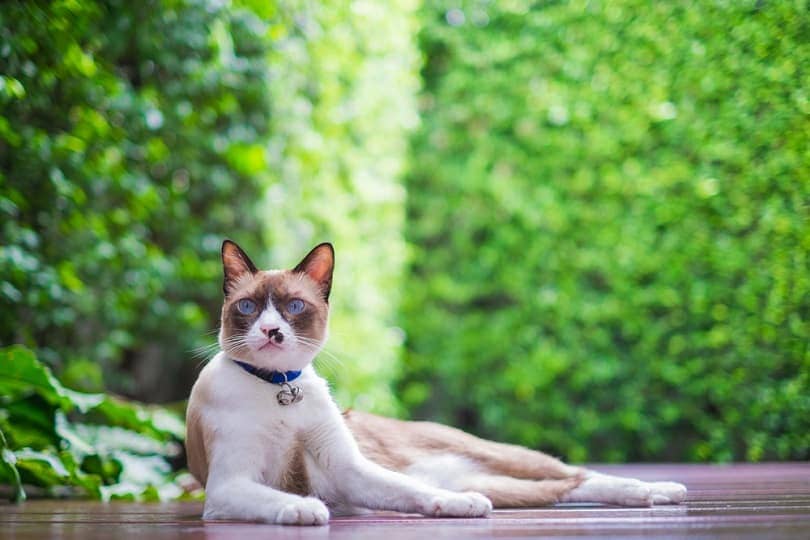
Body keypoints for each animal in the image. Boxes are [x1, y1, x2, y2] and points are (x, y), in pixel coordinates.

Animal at [183, 240, 680, 524]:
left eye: (293, 307)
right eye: (249, 308)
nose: (271, 332)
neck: (280, 387)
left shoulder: (348, 470)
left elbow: (413, 492)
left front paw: (458, 507)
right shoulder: (230, 486)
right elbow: (275, 498)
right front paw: (303, 508)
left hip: (500, 457)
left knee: (571, 473)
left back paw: (659, 489)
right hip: (503, 485)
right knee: (560, 488)